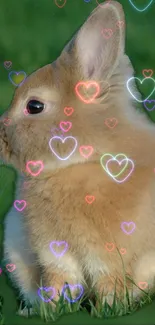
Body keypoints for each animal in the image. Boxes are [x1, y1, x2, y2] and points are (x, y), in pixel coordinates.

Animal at [0, 0, 155, 316]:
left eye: (34, 106)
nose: (0, 140)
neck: (78, 162)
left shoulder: (109, 255)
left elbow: (109, 282)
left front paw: (107, 311)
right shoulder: (55, 254)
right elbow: (60, 280)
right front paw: (51, 310)